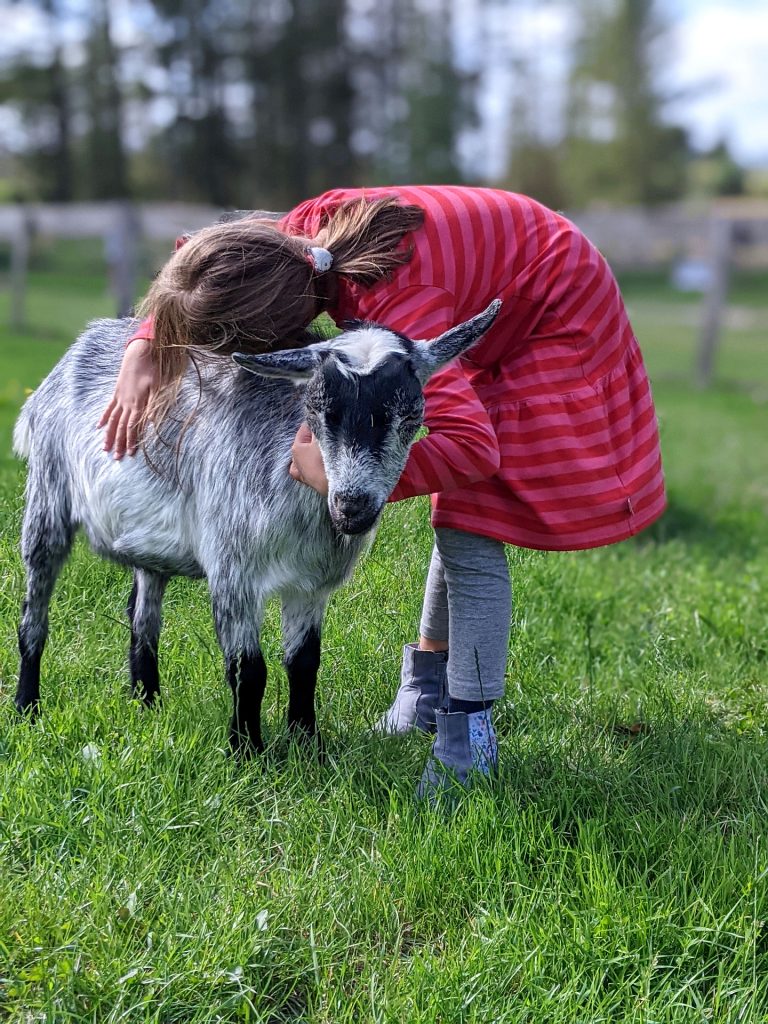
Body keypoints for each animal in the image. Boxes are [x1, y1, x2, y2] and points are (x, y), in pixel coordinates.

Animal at [13, 299, 505, 757]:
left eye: (411, 415)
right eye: (317, 410)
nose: (352, 506)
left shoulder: (311, 583)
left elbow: (304, 663)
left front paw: (308, 746)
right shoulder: (233, 571)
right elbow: (248, 669)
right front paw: (246, 751)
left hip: (148, 541)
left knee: (142, 613)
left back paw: (146, 701)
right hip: (47, 497)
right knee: (34, 614)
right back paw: (27, 708)